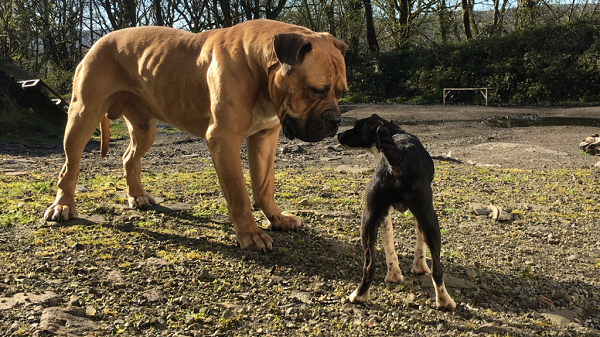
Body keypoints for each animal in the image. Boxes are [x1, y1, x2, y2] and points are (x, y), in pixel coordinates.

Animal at [44, 18, 350, 249]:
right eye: (316, 90)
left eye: (341, 91)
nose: (335, 119)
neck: (258, 66)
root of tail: (97, 42)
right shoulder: (224, 140)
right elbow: (239, 193)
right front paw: (250, 234)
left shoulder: (265, 137)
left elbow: (264, 186)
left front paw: (277, 219)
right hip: (82, 117)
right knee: (69, 168)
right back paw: (62, 207)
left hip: (145, 128)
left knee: (129, 158)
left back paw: (137, 196)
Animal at [338, 114, 454, 308]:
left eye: (355, 126)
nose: (338, 134)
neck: (395, 134)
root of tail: (398, 156)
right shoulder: (422, 216)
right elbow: (420, 242)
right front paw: (419, 267)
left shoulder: (385, 213)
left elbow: (390, 246)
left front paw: (394, 276)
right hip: (431, 218)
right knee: (437, 269)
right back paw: (446, 302)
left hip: (368, 216)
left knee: (369, 265)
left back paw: (359, 296)